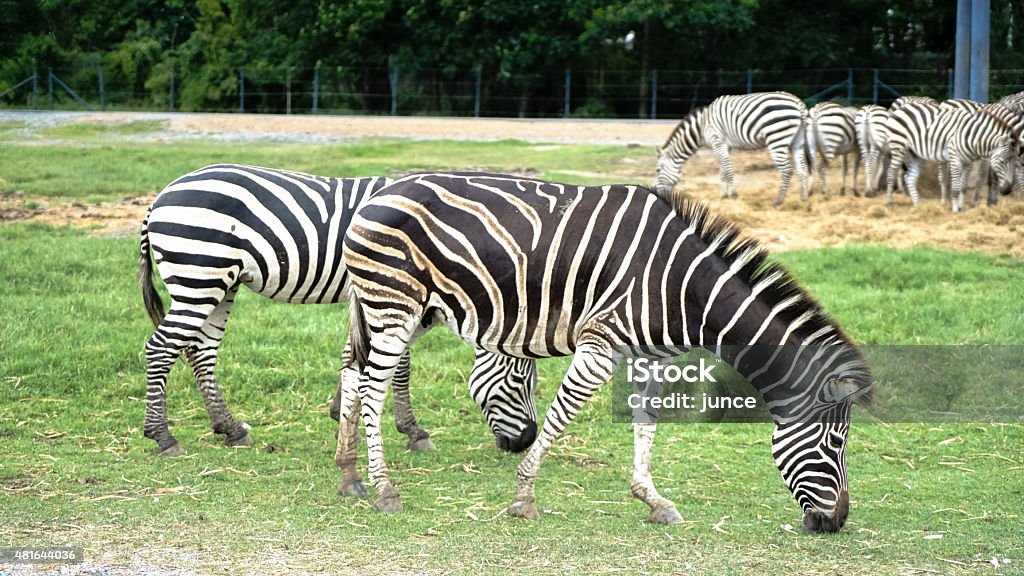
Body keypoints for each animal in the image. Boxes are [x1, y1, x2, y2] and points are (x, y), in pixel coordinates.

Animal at [140, 163, 540, 455]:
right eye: (523, 382)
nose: (525, 443)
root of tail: (161, 196)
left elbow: (354, 354)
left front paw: (342, 412)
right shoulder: (395, 297)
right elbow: (399, 365)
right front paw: (412, 431)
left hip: (220, 283)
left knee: (200, 352)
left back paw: (230, 428)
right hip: (199, 276)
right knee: (161, 348)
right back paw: (163, 436)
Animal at [333, 169, 872, 528]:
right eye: (836, 444)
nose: (837, 523)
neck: (685, 287)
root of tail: (376, 193)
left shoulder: (651, 355)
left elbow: (646, 424)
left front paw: (653, 499)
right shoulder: (600, 342)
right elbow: (561, 416)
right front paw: (524, 497)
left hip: (406, 311)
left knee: (354, 373)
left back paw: (349, 476)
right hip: (395, 305)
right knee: (374, 387)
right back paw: (384, 488)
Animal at [651, 90, 811, 204]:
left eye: (658, 170)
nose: (654, 192)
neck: (701, 127)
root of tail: (797, 102)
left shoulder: (717, 141)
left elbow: (727, 169)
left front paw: (733, 195)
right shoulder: (725, 146)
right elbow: (723, 170)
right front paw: (724, 195)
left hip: (776, 139)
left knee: (787, 170)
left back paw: (778, 201)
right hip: (797, 141)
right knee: (802, 167)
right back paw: (804, 199)